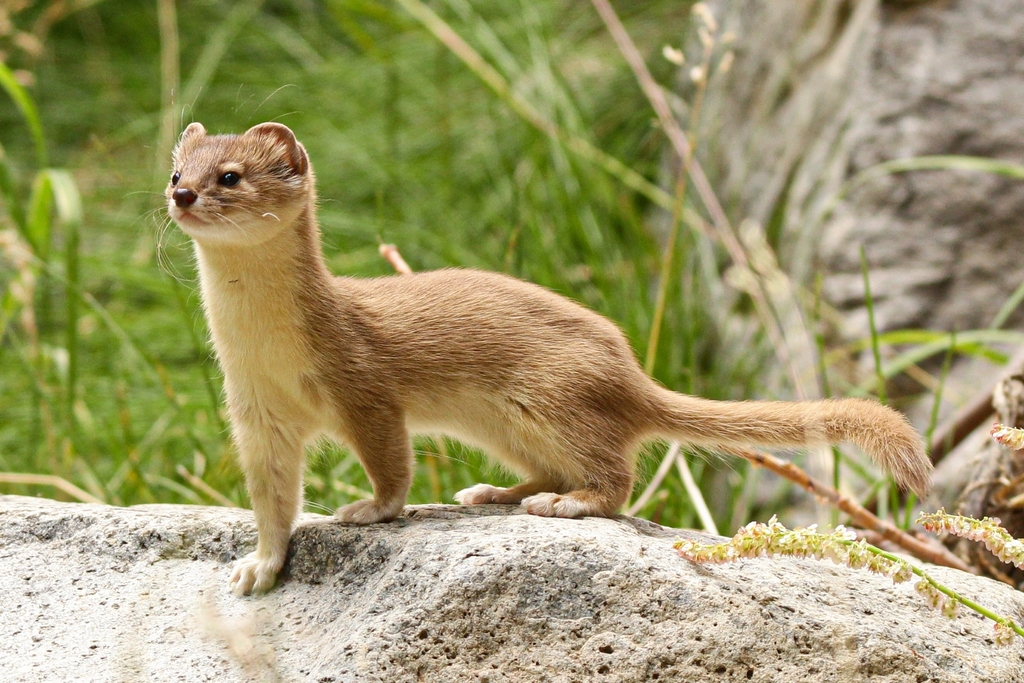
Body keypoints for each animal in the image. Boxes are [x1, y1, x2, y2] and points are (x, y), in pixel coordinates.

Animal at [163, 124, 933, 598]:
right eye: (175, 168)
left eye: (230, 175)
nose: (182, 193)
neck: (265, 349)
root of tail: (631, 374)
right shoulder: (254, 411)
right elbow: (271, 500)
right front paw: (256, 567)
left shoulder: (363, 384)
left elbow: (391, 463)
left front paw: (366, 509)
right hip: (503, 424)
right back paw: (495, 493)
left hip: (551, 397)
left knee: (615, 477)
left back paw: (562, 503)